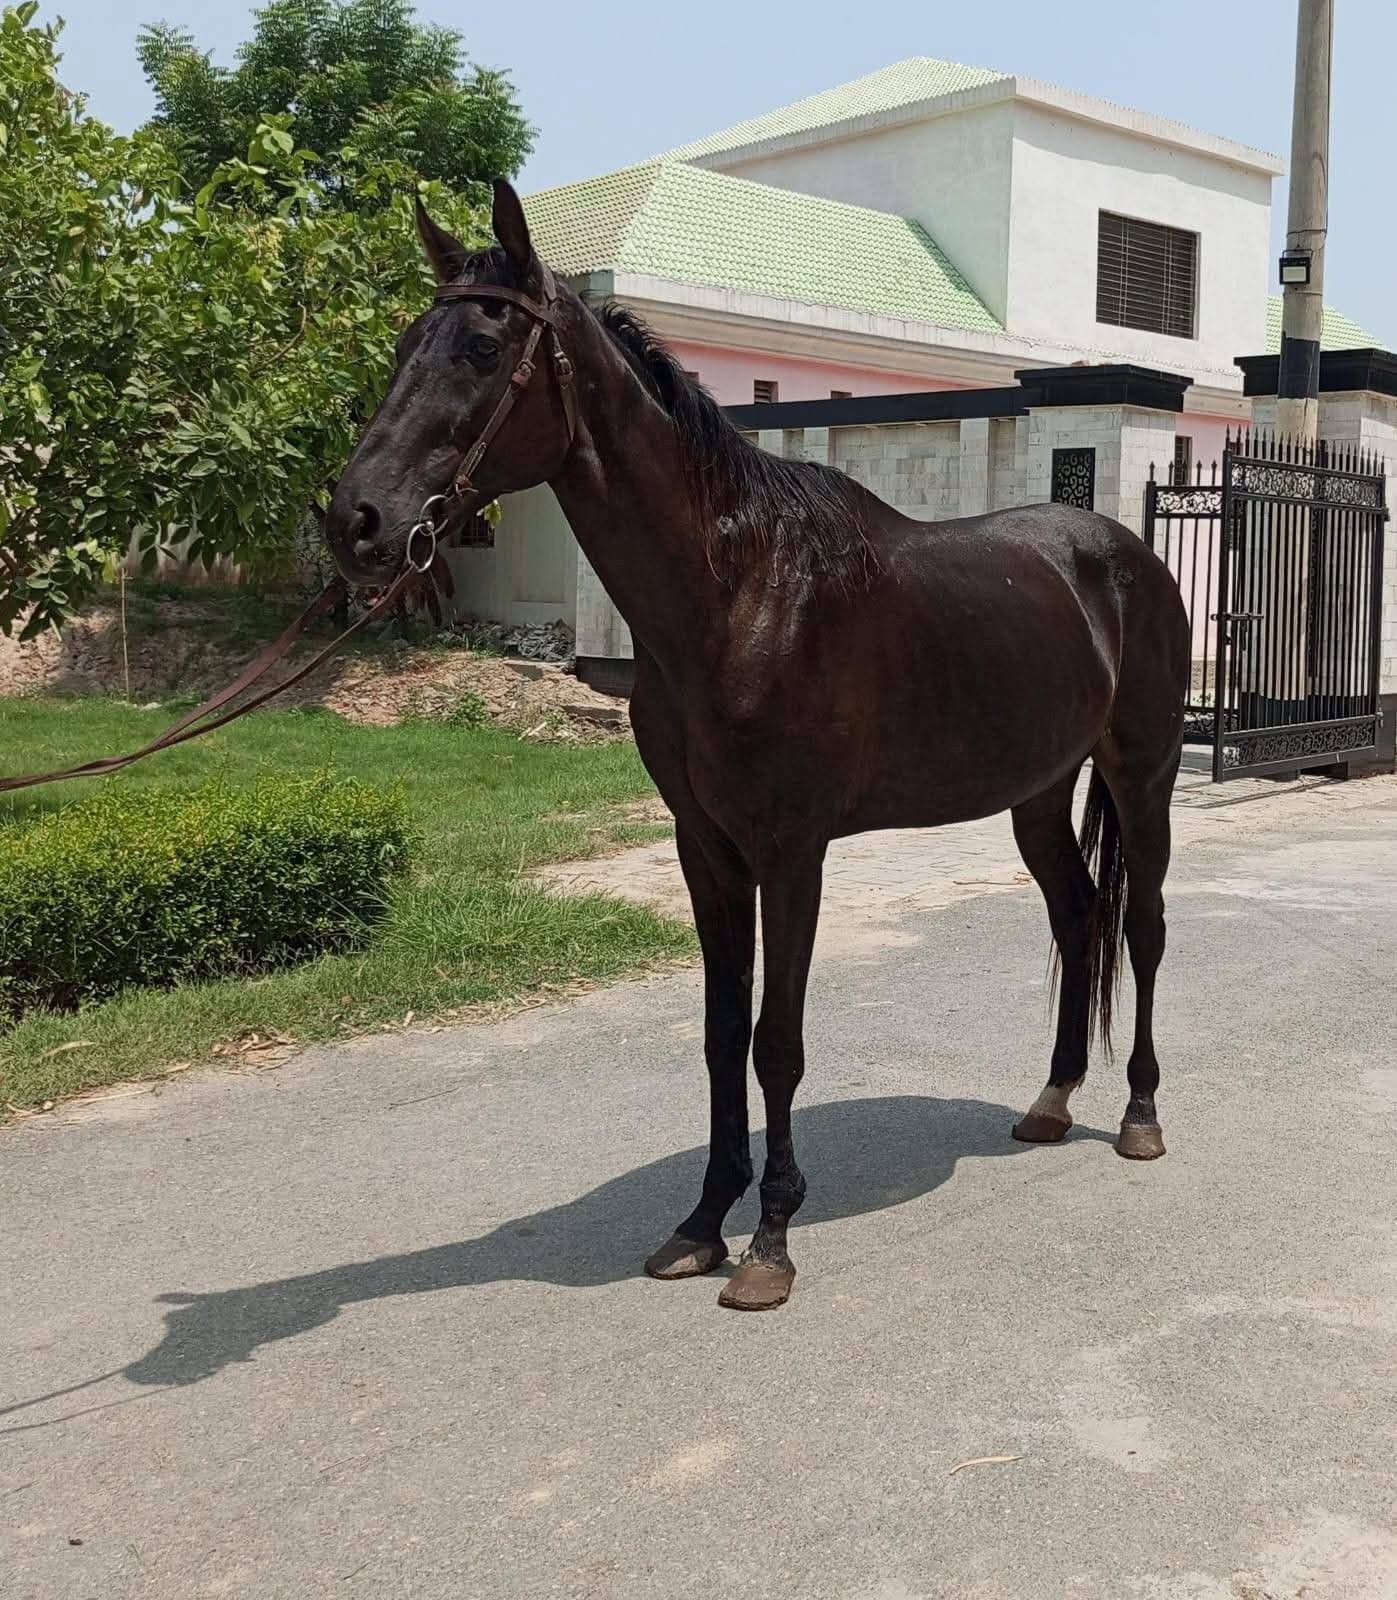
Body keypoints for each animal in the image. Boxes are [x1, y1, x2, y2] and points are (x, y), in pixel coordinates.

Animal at [325, 180, 1191, 1313]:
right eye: (400, 346)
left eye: (479, 348)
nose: (355, 520)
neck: (737, 594)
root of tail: (1124, 552)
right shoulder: (705, 848)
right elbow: (717, 1034)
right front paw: (701, 1223)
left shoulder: (791, 852)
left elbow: (775, 1041)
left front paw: (769, 1241)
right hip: (1036, 795)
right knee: (1078, 915)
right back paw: (1049, 1099)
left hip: (1141, 775)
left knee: (1141, 926)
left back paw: (1137, 1114)